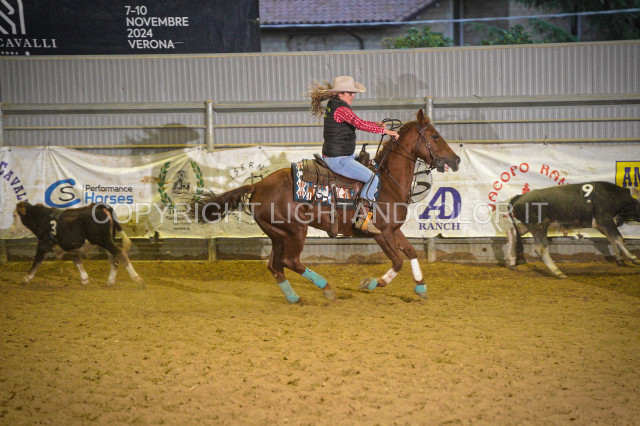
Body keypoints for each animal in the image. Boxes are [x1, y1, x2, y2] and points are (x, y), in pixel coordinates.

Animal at [9, 202, 145, 288]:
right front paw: (84, 279)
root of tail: (99, 207)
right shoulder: (72, 246)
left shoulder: (43, 244)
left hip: (104, 240)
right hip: (108, 240)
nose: (11, 229)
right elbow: (77, 261)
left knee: (120, 254)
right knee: (113, 259)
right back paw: (110, 281)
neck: (41, 219)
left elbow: (36, 262)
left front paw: (26, 279)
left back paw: (138, 279)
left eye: (14, 215)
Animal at [191, 109, 460, 303]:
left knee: (275, 265)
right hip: (295, 231)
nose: (456, 159)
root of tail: (257, 186)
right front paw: (372, 283)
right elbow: (397, 261)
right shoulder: (381, 233)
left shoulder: (394, 230)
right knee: (290, 261)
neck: (387, 182)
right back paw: (326, 288)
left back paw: (294, 297)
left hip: (277, 234)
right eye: (435, 136)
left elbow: (412, 252)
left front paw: (421, 287)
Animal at [506, 182, 640, 278]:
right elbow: (619, 238)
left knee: (512, 232)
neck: (612, 195)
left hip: (529, 225)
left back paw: (512, 262)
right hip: (539, 226)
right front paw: (634, 258)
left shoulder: (601, 224)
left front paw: (620, 258)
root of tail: (519, 197)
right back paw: (558, 272)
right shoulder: (606, 219)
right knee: (541, 248)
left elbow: (612, 238)